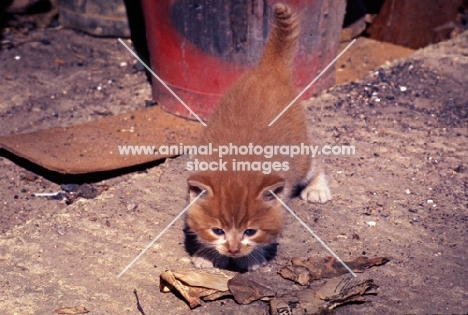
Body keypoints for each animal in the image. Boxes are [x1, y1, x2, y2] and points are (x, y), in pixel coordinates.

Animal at [185, 3, 330, 274]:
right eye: (217, 231)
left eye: (250, 232)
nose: (233, 250)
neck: (236, 167)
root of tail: (268, 71)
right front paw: (206, 255)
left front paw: (252, 258)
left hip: (302, 156)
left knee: (315, 162)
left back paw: (317, 189)